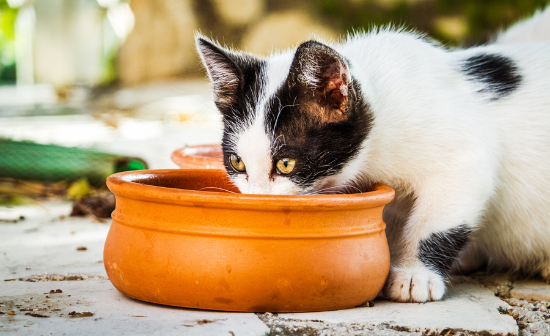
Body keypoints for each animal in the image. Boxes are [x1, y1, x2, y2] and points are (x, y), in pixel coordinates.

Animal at [196, 6, 550, 304]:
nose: (257, 199)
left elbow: (436, 217)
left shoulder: (466, 151)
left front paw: (414, 274)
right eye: (237, 162)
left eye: (286, 163)